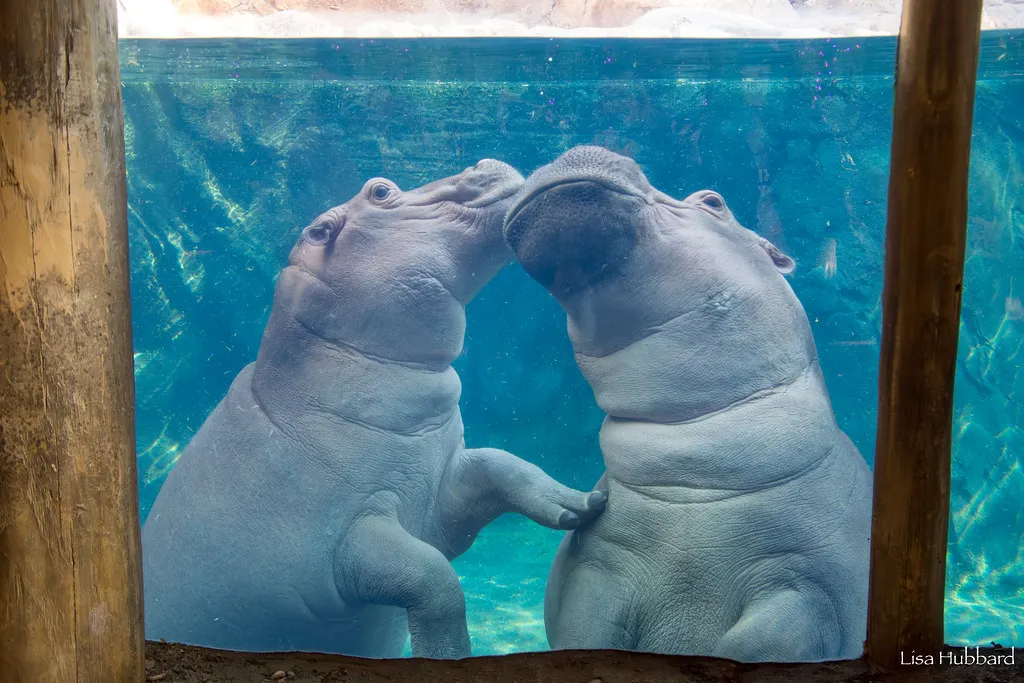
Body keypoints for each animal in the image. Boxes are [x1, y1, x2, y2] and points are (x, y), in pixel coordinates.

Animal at [141, 160, 607, 659]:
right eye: (381, 191)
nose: (482, 164)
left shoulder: (440, 499)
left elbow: (500, 464)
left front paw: (579, 507)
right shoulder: (348, 542)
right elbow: (435, 580)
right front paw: (449, 656)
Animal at [502, 146, 873, 663]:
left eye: (713, 201)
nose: (571, 149)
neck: (695, 468)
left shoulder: (808, 587)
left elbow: (754, 645)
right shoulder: (598, 569)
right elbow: (583, 631)